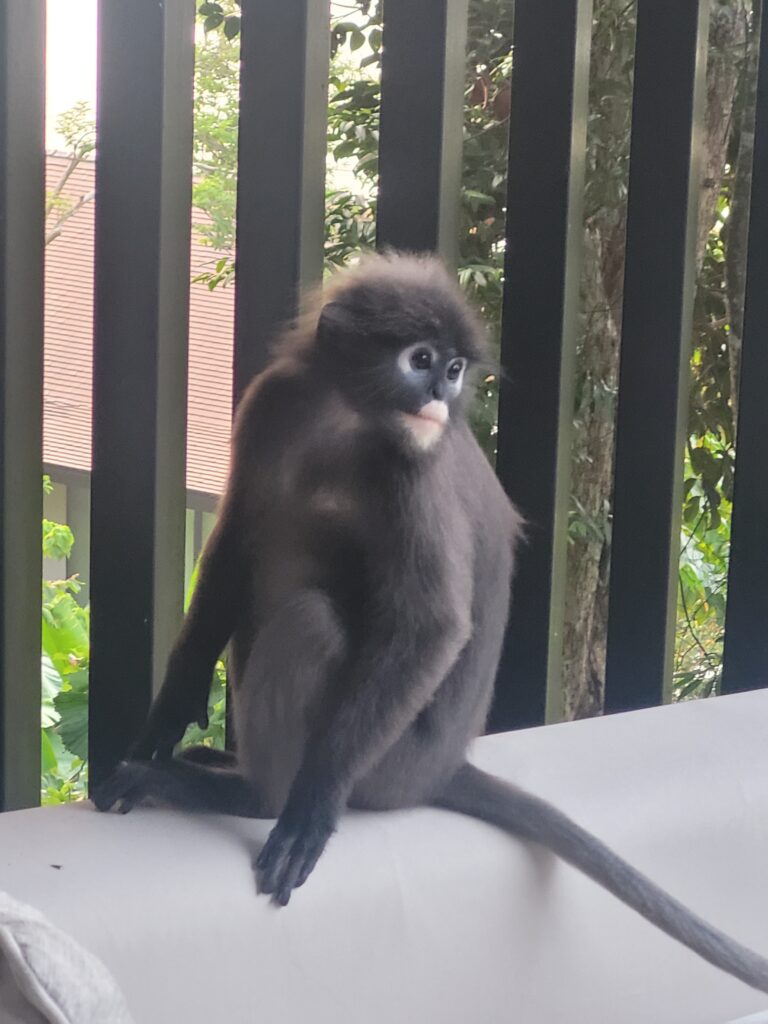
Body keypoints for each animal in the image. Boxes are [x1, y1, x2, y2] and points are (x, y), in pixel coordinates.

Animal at [94, 252, 768, 995]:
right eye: (420, 361)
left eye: (453, 369)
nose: (441, 396)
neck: (344, 420)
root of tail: (441, 768)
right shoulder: (274, 407)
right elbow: (233, 550)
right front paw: (161, 726)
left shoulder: (415, 468)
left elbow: (434, 627)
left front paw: (308, 810)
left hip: (387, 760)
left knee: (308, 618)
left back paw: (247, 795)